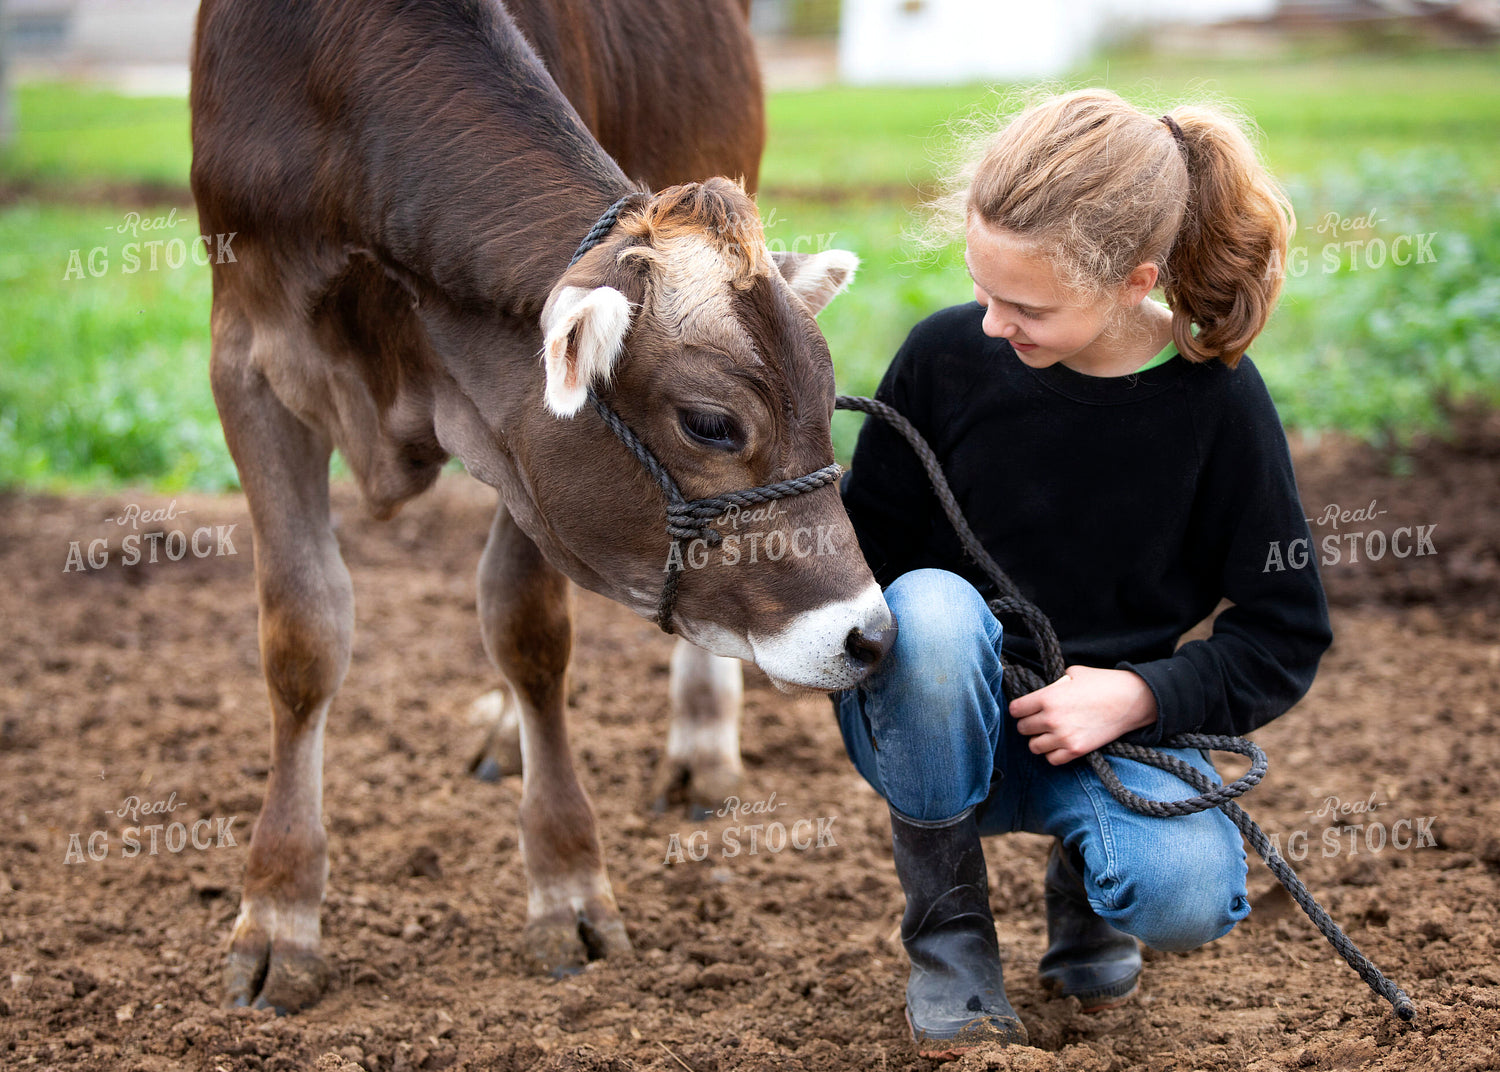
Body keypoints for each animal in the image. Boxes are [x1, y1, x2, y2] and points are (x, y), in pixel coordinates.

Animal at [191, 0, 894, 1012]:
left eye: (827, 404)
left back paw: (700, 744)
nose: (871, 636)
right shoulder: (247, 357)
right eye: (711, 423)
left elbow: (527, 630)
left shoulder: (515, 432)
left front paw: (566, 885)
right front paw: (278, 911)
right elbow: (302, 636)